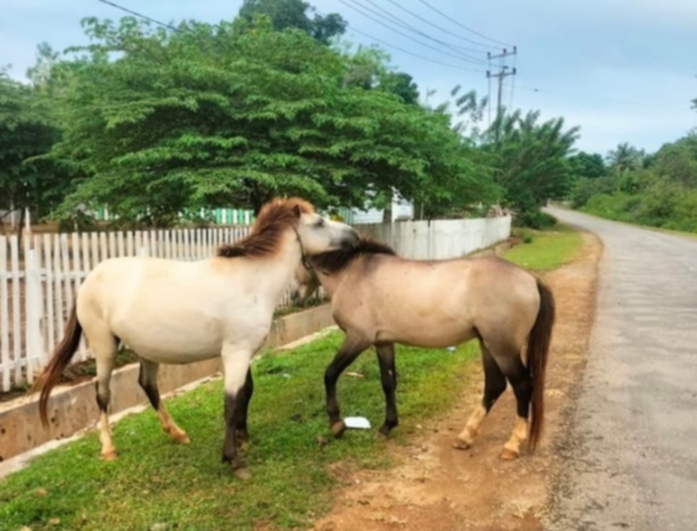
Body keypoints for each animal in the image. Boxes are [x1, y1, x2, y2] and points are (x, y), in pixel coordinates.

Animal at [32, 197, 359, 479]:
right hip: (105, 348)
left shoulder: (244, 352)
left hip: (146, 350)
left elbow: (246, 393)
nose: (354, 235)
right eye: (318, 222)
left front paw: (243, 438)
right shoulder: (235, 353)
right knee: (102, 395)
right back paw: (109, 449)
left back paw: (177, 433)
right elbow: (230, 403)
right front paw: (233, 459)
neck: (251, 280)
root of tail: (90, 278)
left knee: (148, 385)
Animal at [297, 236, 555, 460]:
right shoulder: (383, 342)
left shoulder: (358, 338)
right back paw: (466, 436)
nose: (297, 297)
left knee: (522, 386)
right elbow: (388, 382)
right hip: (488, 344)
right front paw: (387, 426)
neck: (354, 273)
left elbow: (330, 374)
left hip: (503, 348)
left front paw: (336, 424)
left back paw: (511, 445)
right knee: (495, 385)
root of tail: (531, 280)